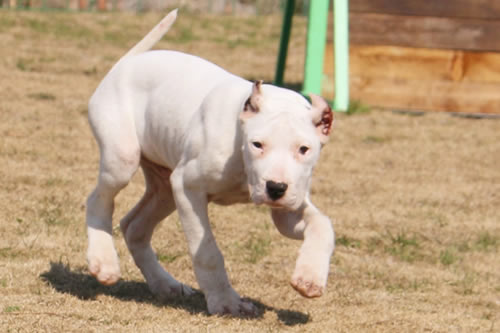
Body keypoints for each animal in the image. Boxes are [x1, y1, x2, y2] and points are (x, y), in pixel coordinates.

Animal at [86, 9, 336, 316]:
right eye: (257, 144)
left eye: (304, 149)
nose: (276, 188)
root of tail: (125, 64)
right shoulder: (188, 187)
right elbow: (207, 251)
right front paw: (226, 301)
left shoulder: (288, 208)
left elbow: (323, 225)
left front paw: (310, 278)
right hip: (123, 159)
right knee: (98, 199)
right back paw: (103, 262)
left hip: (165, 186)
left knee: (134, 226)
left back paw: (165, 284)